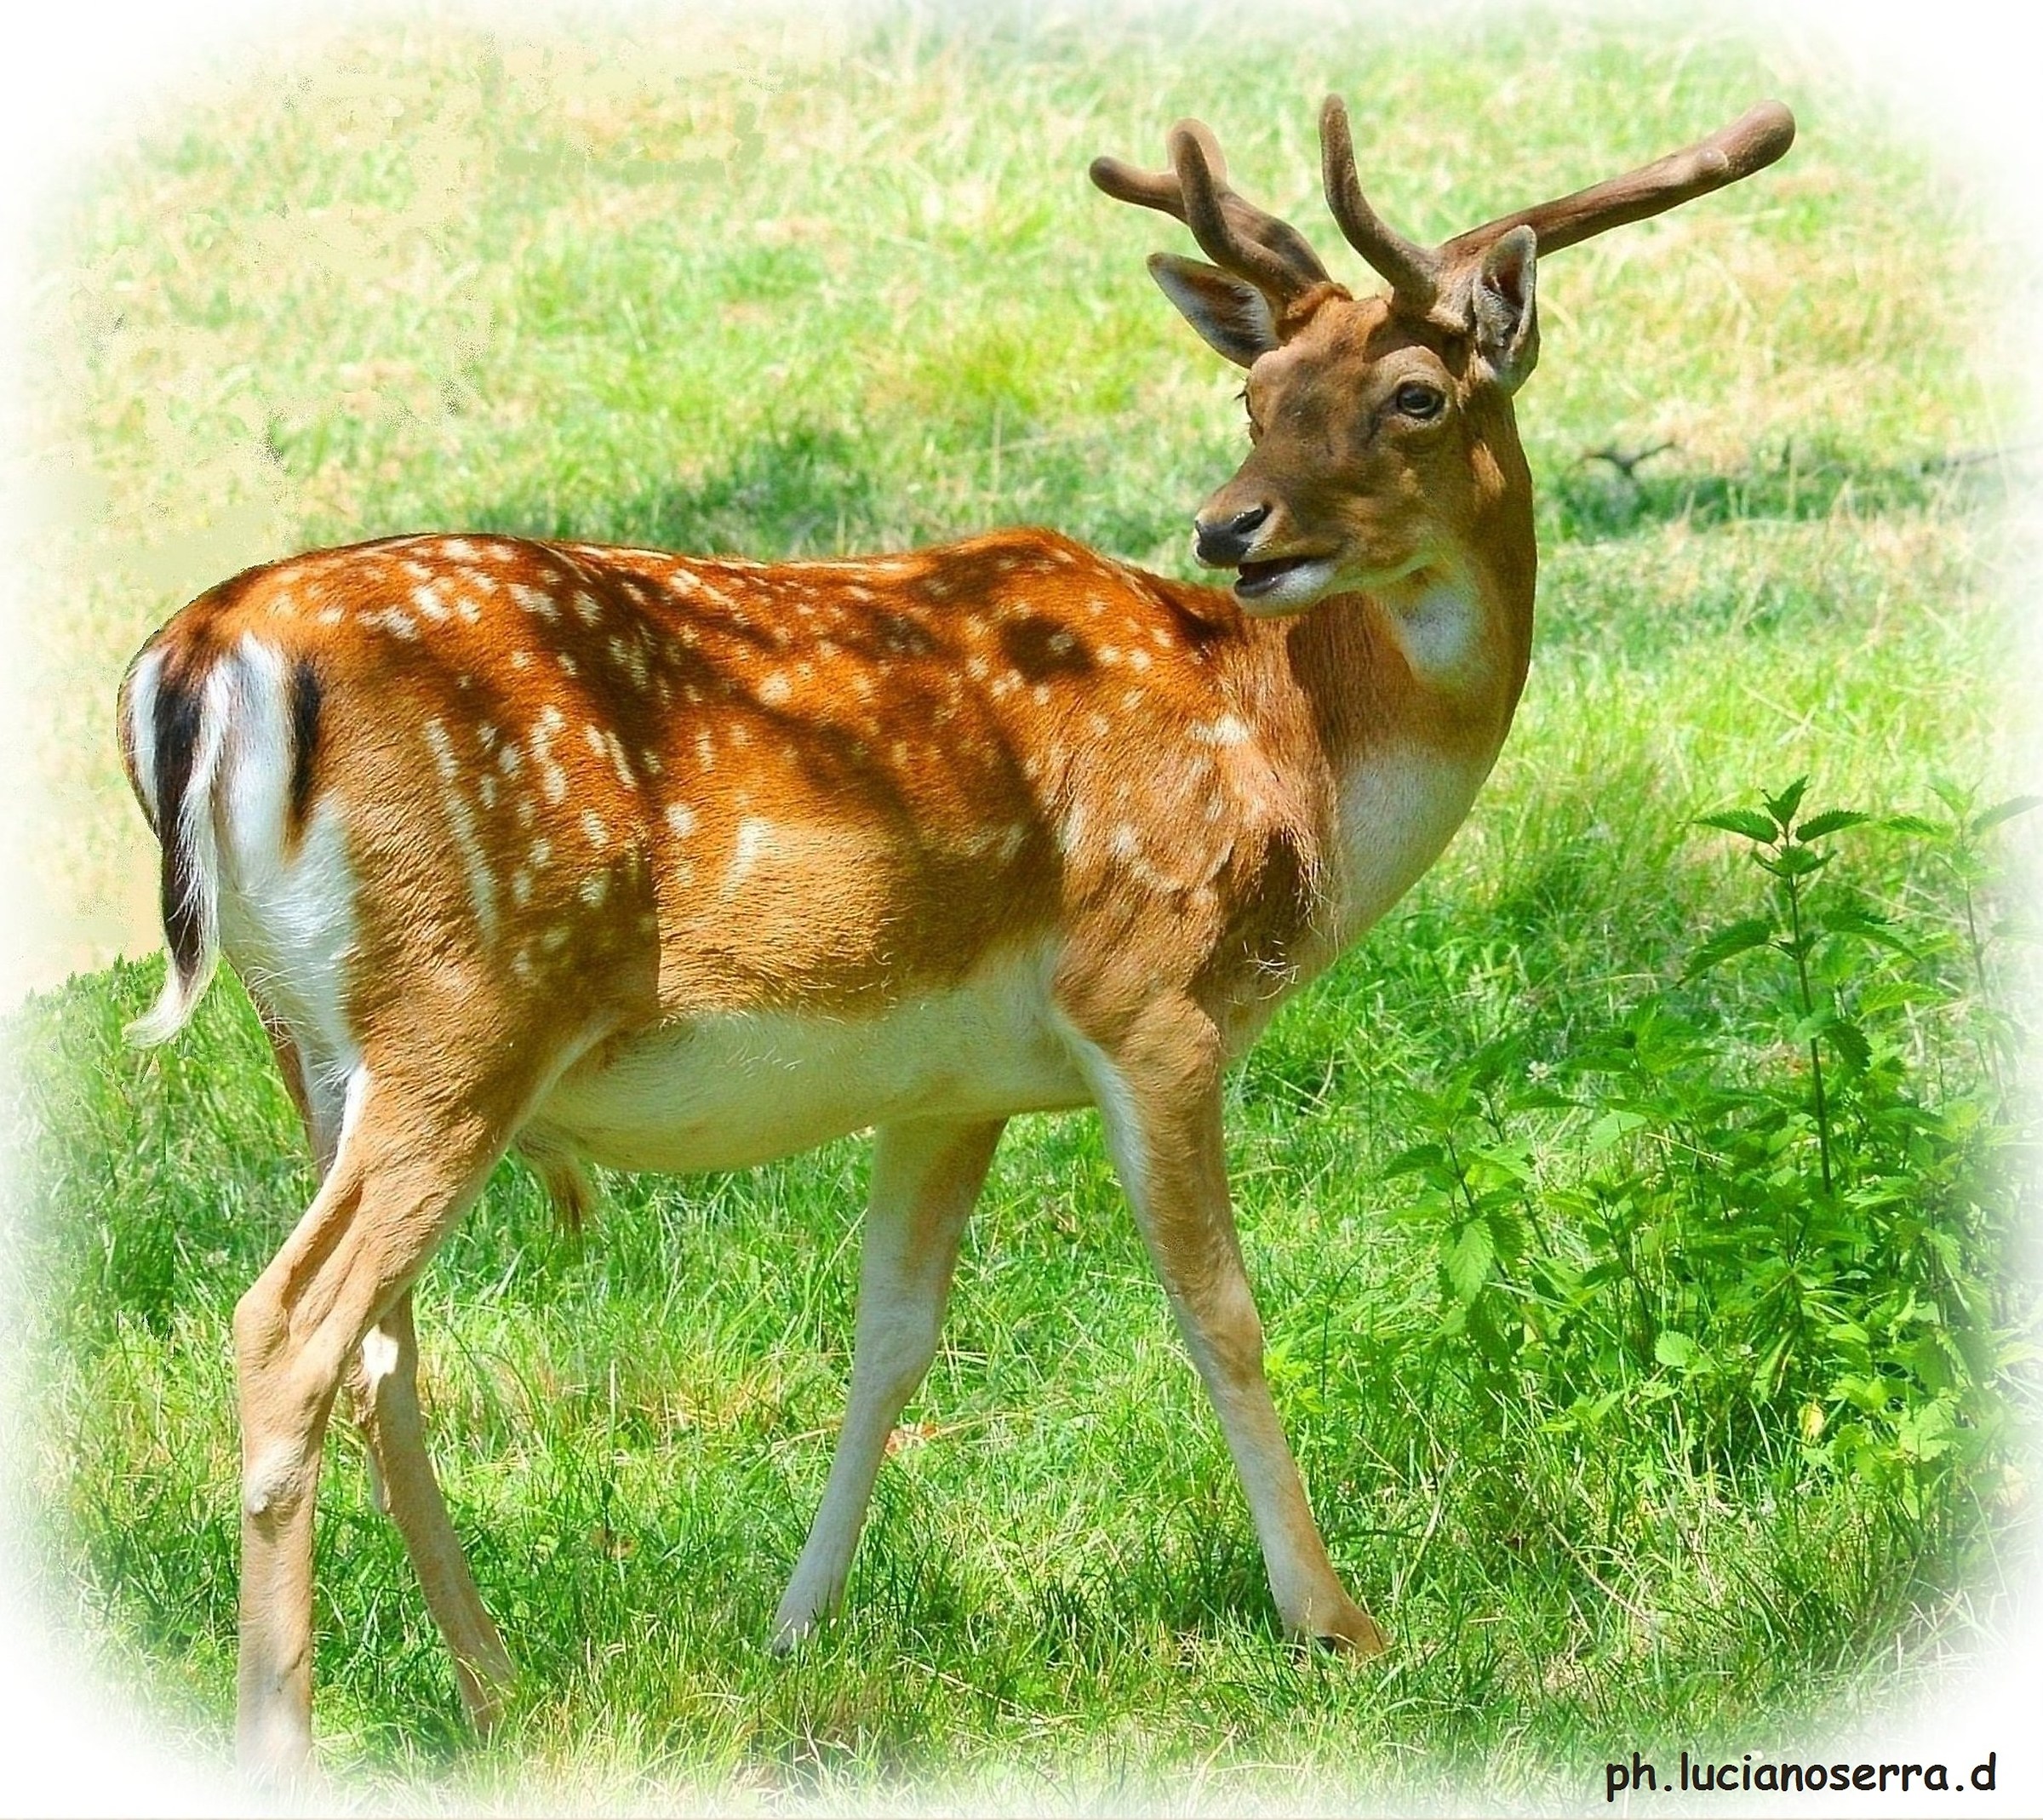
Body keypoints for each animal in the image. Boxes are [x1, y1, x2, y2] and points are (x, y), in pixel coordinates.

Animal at [114, 93, 1794, 1777]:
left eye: (1412, 393)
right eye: (1257, 391)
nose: (1230, 526)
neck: (1291, 760)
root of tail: (200, 656)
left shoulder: (952, 1077)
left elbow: (890, 1339)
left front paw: (796, 1629)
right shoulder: (1149, 992)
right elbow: (1225, 1314)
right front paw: (1339, 1622)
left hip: (320, 1044)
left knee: (383, 1352)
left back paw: (496, 1683)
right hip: (469, 1009)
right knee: (288, 1325)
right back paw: (290, 1730)